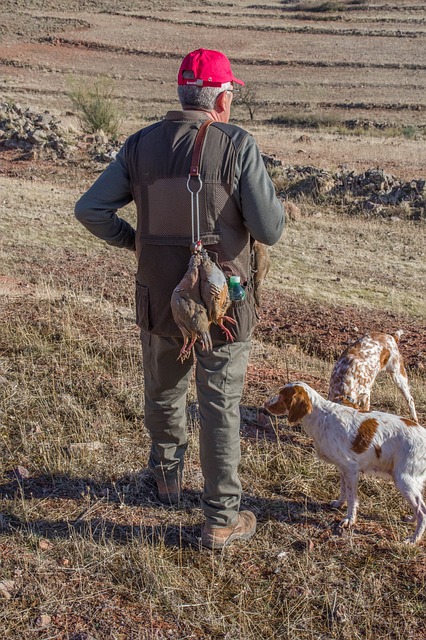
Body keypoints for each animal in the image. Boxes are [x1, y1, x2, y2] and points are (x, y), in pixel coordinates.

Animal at [264, 382, 424, 544]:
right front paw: (339, 504)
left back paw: (413, 539)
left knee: (422, 510)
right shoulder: (343, 468)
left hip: (403, 479)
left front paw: (349, 519)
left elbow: (352, 499)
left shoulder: (351, 469)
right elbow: (344, 491)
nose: (266, 404)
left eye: (282, 396)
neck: (320, 417)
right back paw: (411, 519)